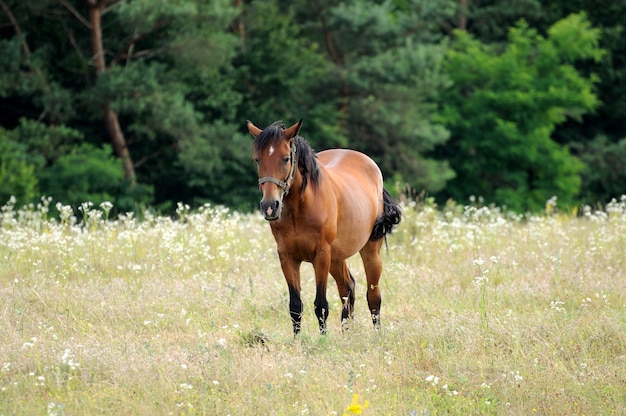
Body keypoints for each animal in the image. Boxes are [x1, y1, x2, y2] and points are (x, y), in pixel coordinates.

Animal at [245, 118, 400, 334]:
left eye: (285, 158)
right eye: (258, 160)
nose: (269, 206)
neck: (300, 209)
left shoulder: (321, 256)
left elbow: (321, 305)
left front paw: (323, 339)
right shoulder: (287, 258)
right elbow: (295, 306)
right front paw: (299, 340)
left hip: (369, 251)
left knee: (373, 297)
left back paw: (376, 335)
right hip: (337, 257)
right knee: (347, 288)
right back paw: (347, 334)